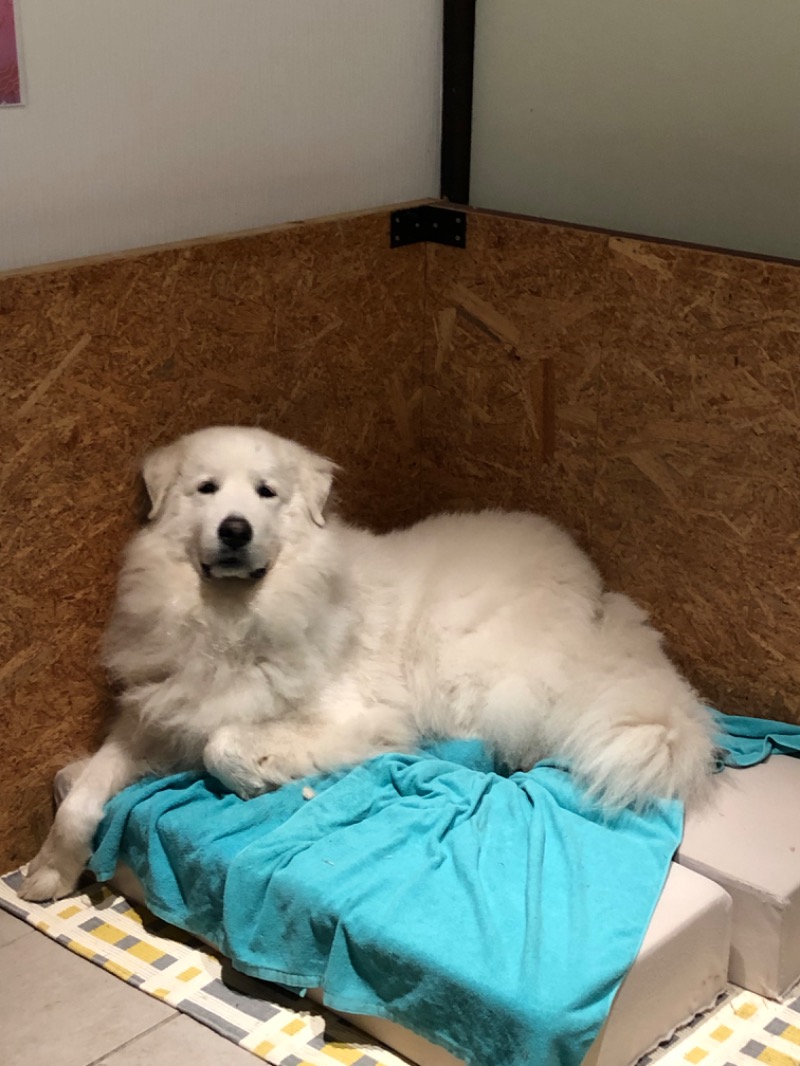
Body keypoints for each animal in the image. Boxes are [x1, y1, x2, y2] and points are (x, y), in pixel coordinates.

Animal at [21, 424, 716, 899]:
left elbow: (224, 742)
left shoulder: (356, 717)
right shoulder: (157, 714)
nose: (235, 529)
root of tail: (597, 593)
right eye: (206, 490)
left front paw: (257, 779)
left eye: (267, 494)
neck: (233, 618)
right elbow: (81, 793)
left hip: (467, 667)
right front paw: (48, 874)